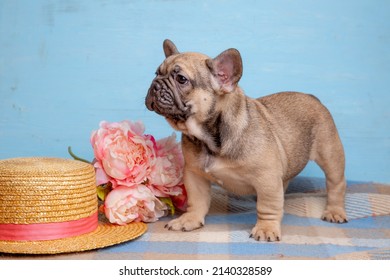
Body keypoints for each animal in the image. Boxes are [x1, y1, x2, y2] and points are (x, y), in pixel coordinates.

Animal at [145, 38, 346, 241]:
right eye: (156, 73)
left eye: (181, 79)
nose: (155, 84)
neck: (209, 138)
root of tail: (313, 98)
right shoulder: (195, 174)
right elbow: (197, 200)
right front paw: (190, 219)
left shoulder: (267, 178)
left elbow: (267, 206)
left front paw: (266, 228)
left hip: (330, 154)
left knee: (336, 184)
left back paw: (335, 211)